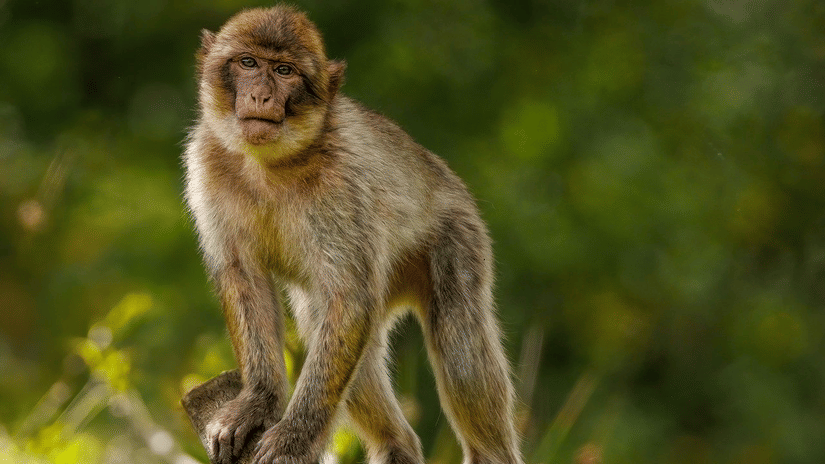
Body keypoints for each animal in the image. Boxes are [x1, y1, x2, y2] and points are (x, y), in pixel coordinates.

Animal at [183, 5, 522, 464]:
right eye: (248, 63)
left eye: (284, 70)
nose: (261, 96)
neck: (268, 164)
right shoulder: (204, 163)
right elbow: (244, 278)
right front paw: (258, 400)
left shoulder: (341, 181)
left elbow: (349, 299)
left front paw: (294, 438)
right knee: (327, 326)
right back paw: (397, 445)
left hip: (458, 235)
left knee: (459, 343)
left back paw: (491, 452)